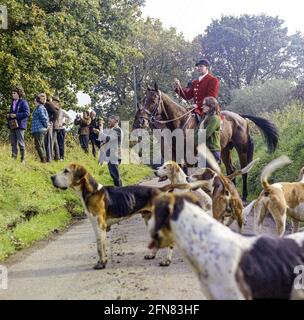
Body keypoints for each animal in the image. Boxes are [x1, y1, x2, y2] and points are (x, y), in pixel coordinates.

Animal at [132, 84, 280, 200]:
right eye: (144, 99)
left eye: (153, 100)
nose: (141, 121)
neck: (179, 123)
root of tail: (240, 117)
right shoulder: (175, 153)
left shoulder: (188, 155)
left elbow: (186, 174)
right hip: (225, 150)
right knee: (231, 170)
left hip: (241, 149)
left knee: (243, 170)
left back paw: (243, 195)